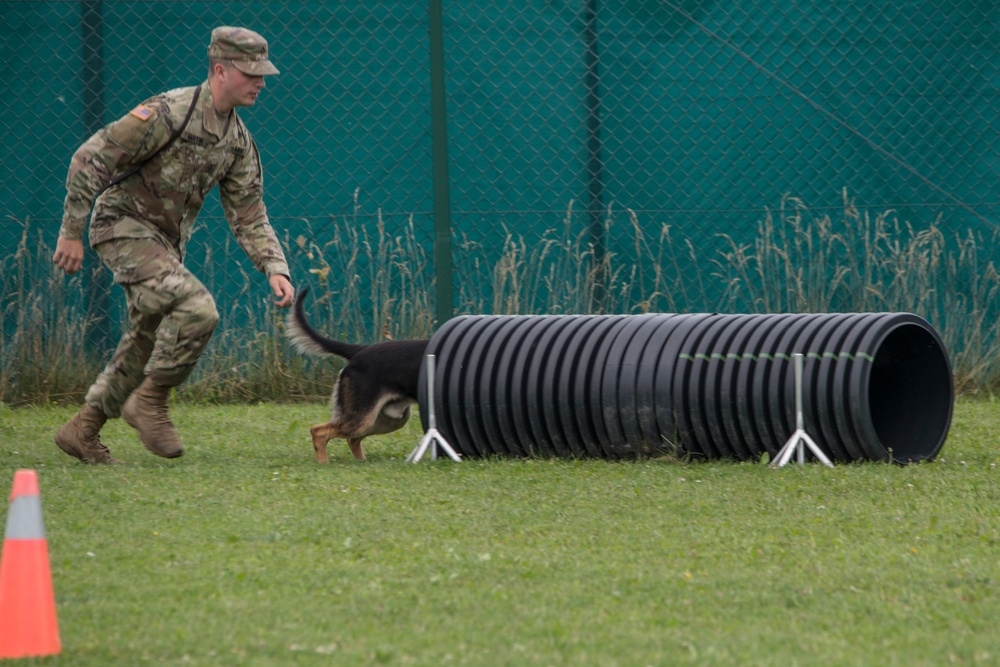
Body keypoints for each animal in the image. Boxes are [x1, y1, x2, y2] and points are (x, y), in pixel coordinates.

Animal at [290, 284, 430, 462]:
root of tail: (359, 350)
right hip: (362, 419)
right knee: (319, 432)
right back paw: (323, 463)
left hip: (387, 419)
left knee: (352, 439)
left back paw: (361, 462)